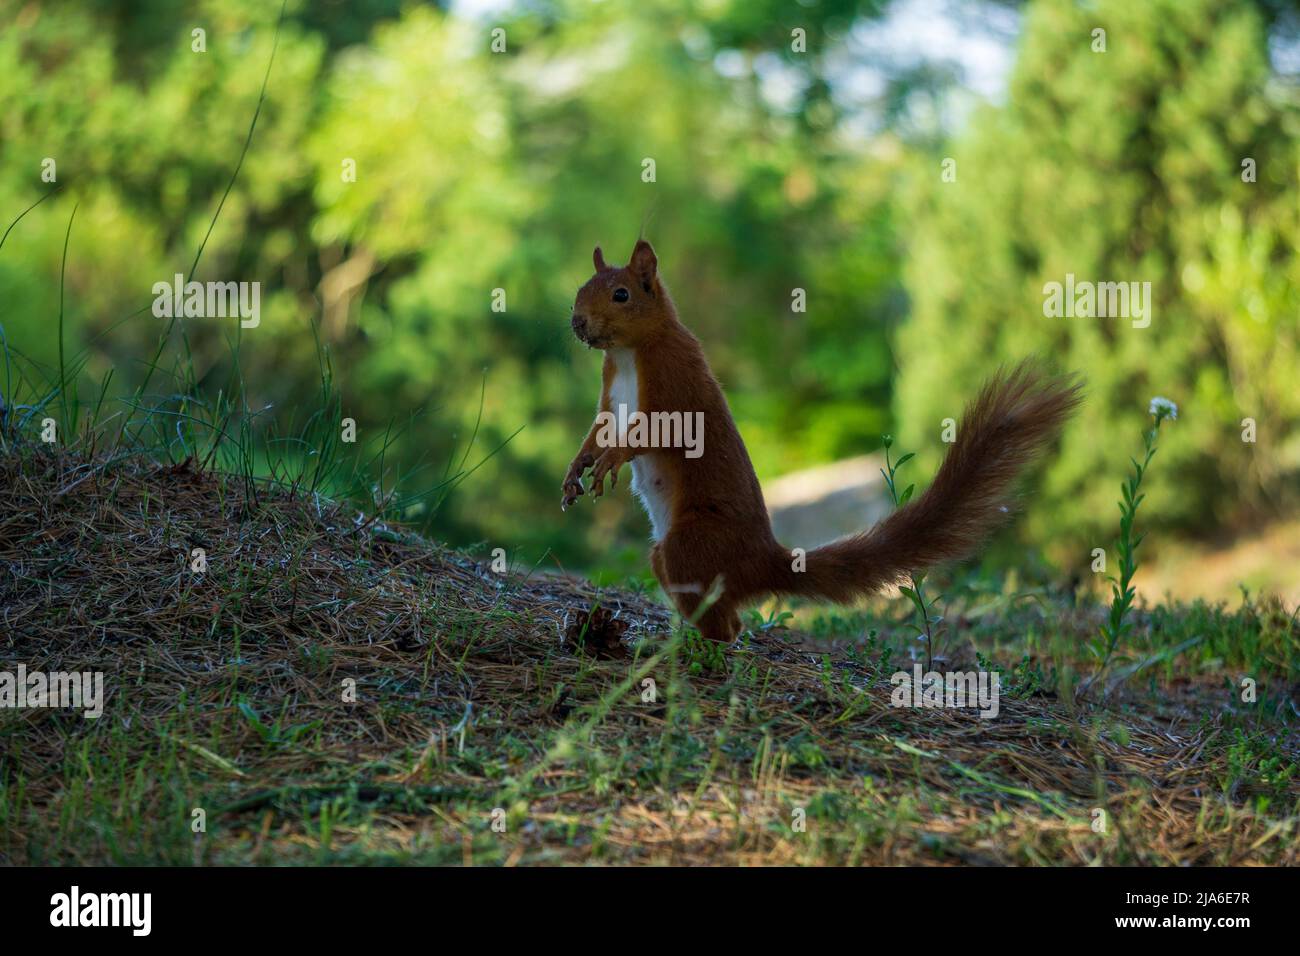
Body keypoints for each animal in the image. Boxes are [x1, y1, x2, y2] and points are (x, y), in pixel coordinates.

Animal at [562, 239, 1082, 644]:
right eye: (580, 291)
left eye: (622, 294)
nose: (578, 323)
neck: (628, 353)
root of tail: (762, 560)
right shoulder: (609, 397)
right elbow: (598, 428)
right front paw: (578, 468)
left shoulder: (673, 384)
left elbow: (653, 432)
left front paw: (611, 460)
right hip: (670, 558)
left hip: (692, 545)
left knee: (725, 626)